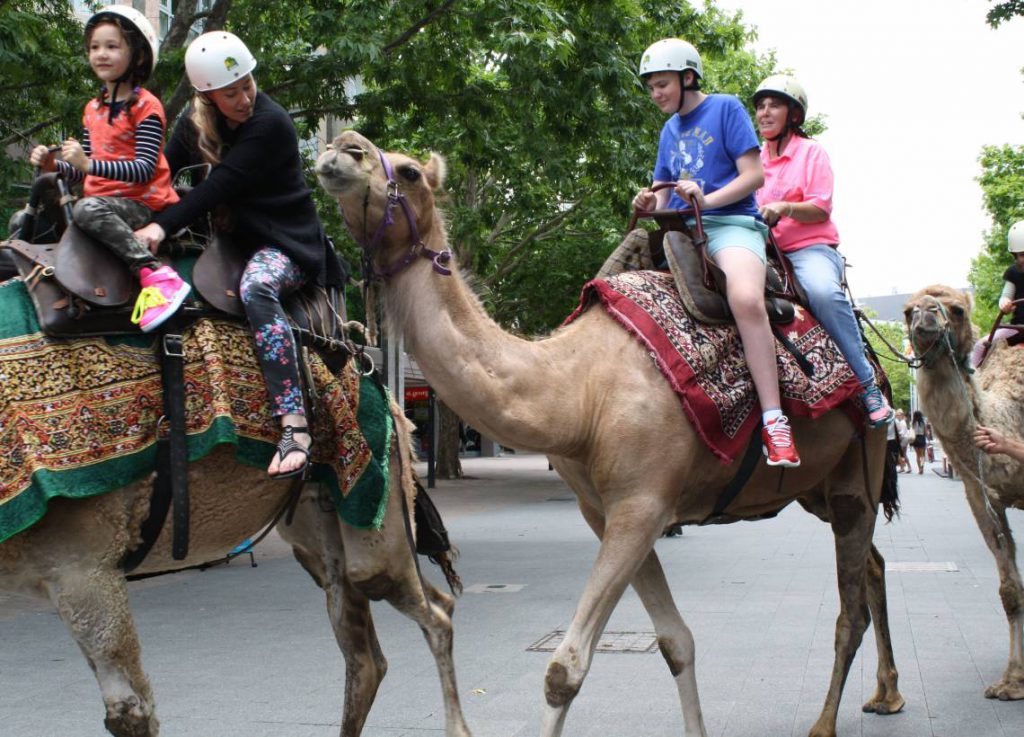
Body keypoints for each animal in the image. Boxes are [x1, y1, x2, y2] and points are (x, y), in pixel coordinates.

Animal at [0, 353, 471, 737]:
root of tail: (388, 393)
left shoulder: (83, 564)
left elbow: (130, 713)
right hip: (318, 526)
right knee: (368, 652)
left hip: (375, 504)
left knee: (432, 610)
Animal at [314, 130, 906, 737]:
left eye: (408, 171)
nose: (341, 147)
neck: (578, 390)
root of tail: (876, 366)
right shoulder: (605, 510)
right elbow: (675, 642)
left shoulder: (643, 504)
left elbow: (565, 669)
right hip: (817, 488)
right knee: (874, 568)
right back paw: (885, 695)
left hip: (858, 471)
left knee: (850, 608)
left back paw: (826, 721)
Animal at [904, 284, 1024, 700]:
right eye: (907, 310)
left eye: (956, 309)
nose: (924, 315)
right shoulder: (981, 495)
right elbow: (1010, 590)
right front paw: (1011, 681)